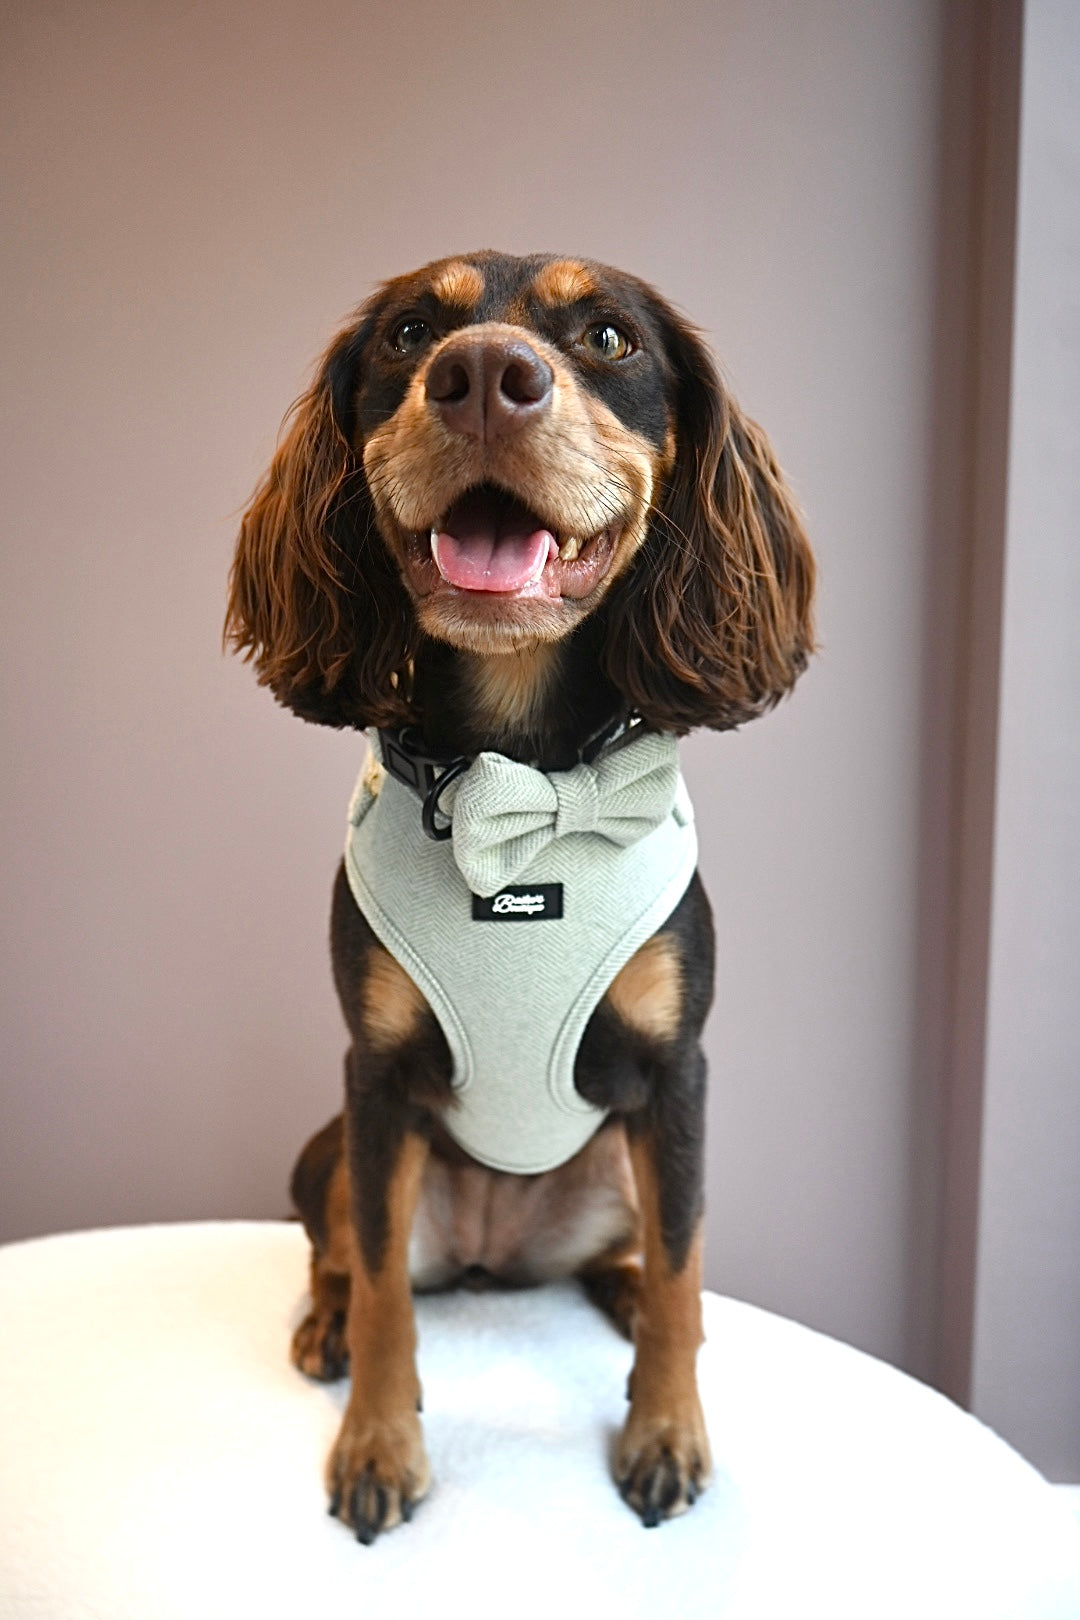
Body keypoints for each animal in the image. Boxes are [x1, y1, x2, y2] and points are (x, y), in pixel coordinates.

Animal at [229, 249, 819, 1542]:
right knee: (346, 1255)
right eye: (409, 333)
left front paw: (666, 1432)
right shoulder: (376, 1078)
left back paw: (623, 1292)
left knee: (644, 1249)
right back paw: (326, 1324)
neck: (524, 779)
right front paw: (379, 1445)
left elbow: (689, 1272)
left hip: (615, 1164)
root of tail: (496, 1254)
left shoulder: (677, 1072)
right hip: (333, 1150)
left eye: (608, 336)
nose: (486, 375)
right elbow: (386, 1288)